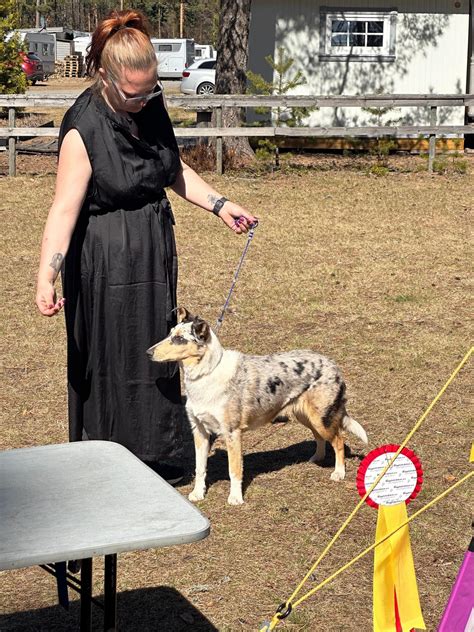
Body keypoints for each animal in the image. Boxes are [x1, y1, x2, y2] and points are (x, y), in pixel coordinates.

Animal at [146, 308, 368, 506]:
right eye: (170, 334)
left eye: (179, 339)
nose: (148, 353)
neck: (206, 374)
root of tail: (333, 364)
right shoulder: (200, 431)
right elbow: (200, 468)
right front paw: (198, 494)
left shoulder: (232, 433)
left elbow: (234, 470)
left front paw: (236, 499)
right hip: (306, 416)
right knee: (320, 437)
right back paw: (316, 458)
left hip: (321, 418)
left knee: (338, 440)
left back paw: (338, 472)